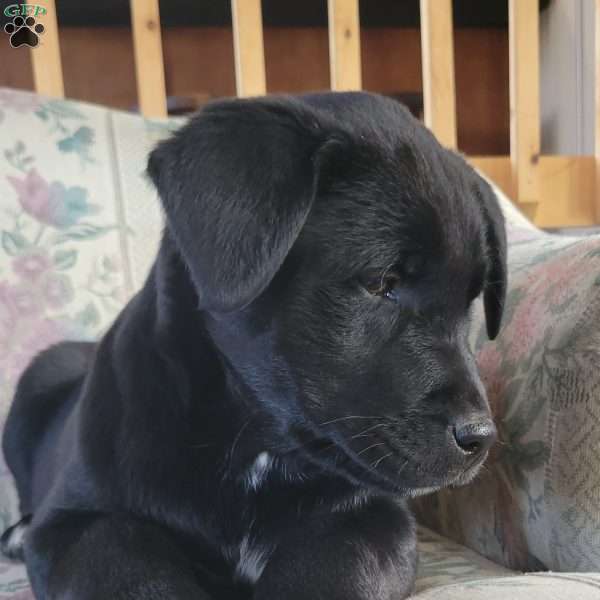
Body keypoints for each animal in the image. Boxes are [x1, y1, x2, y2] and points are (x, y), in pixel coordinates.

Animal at [2, 91, 504, 596]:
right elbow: (130, 568)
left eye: (471, 300)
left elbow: (341, 568)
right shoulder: (76, 524)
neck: (255, 448)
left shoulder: (371, 517)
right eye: (382, 282)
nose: (480, 438)